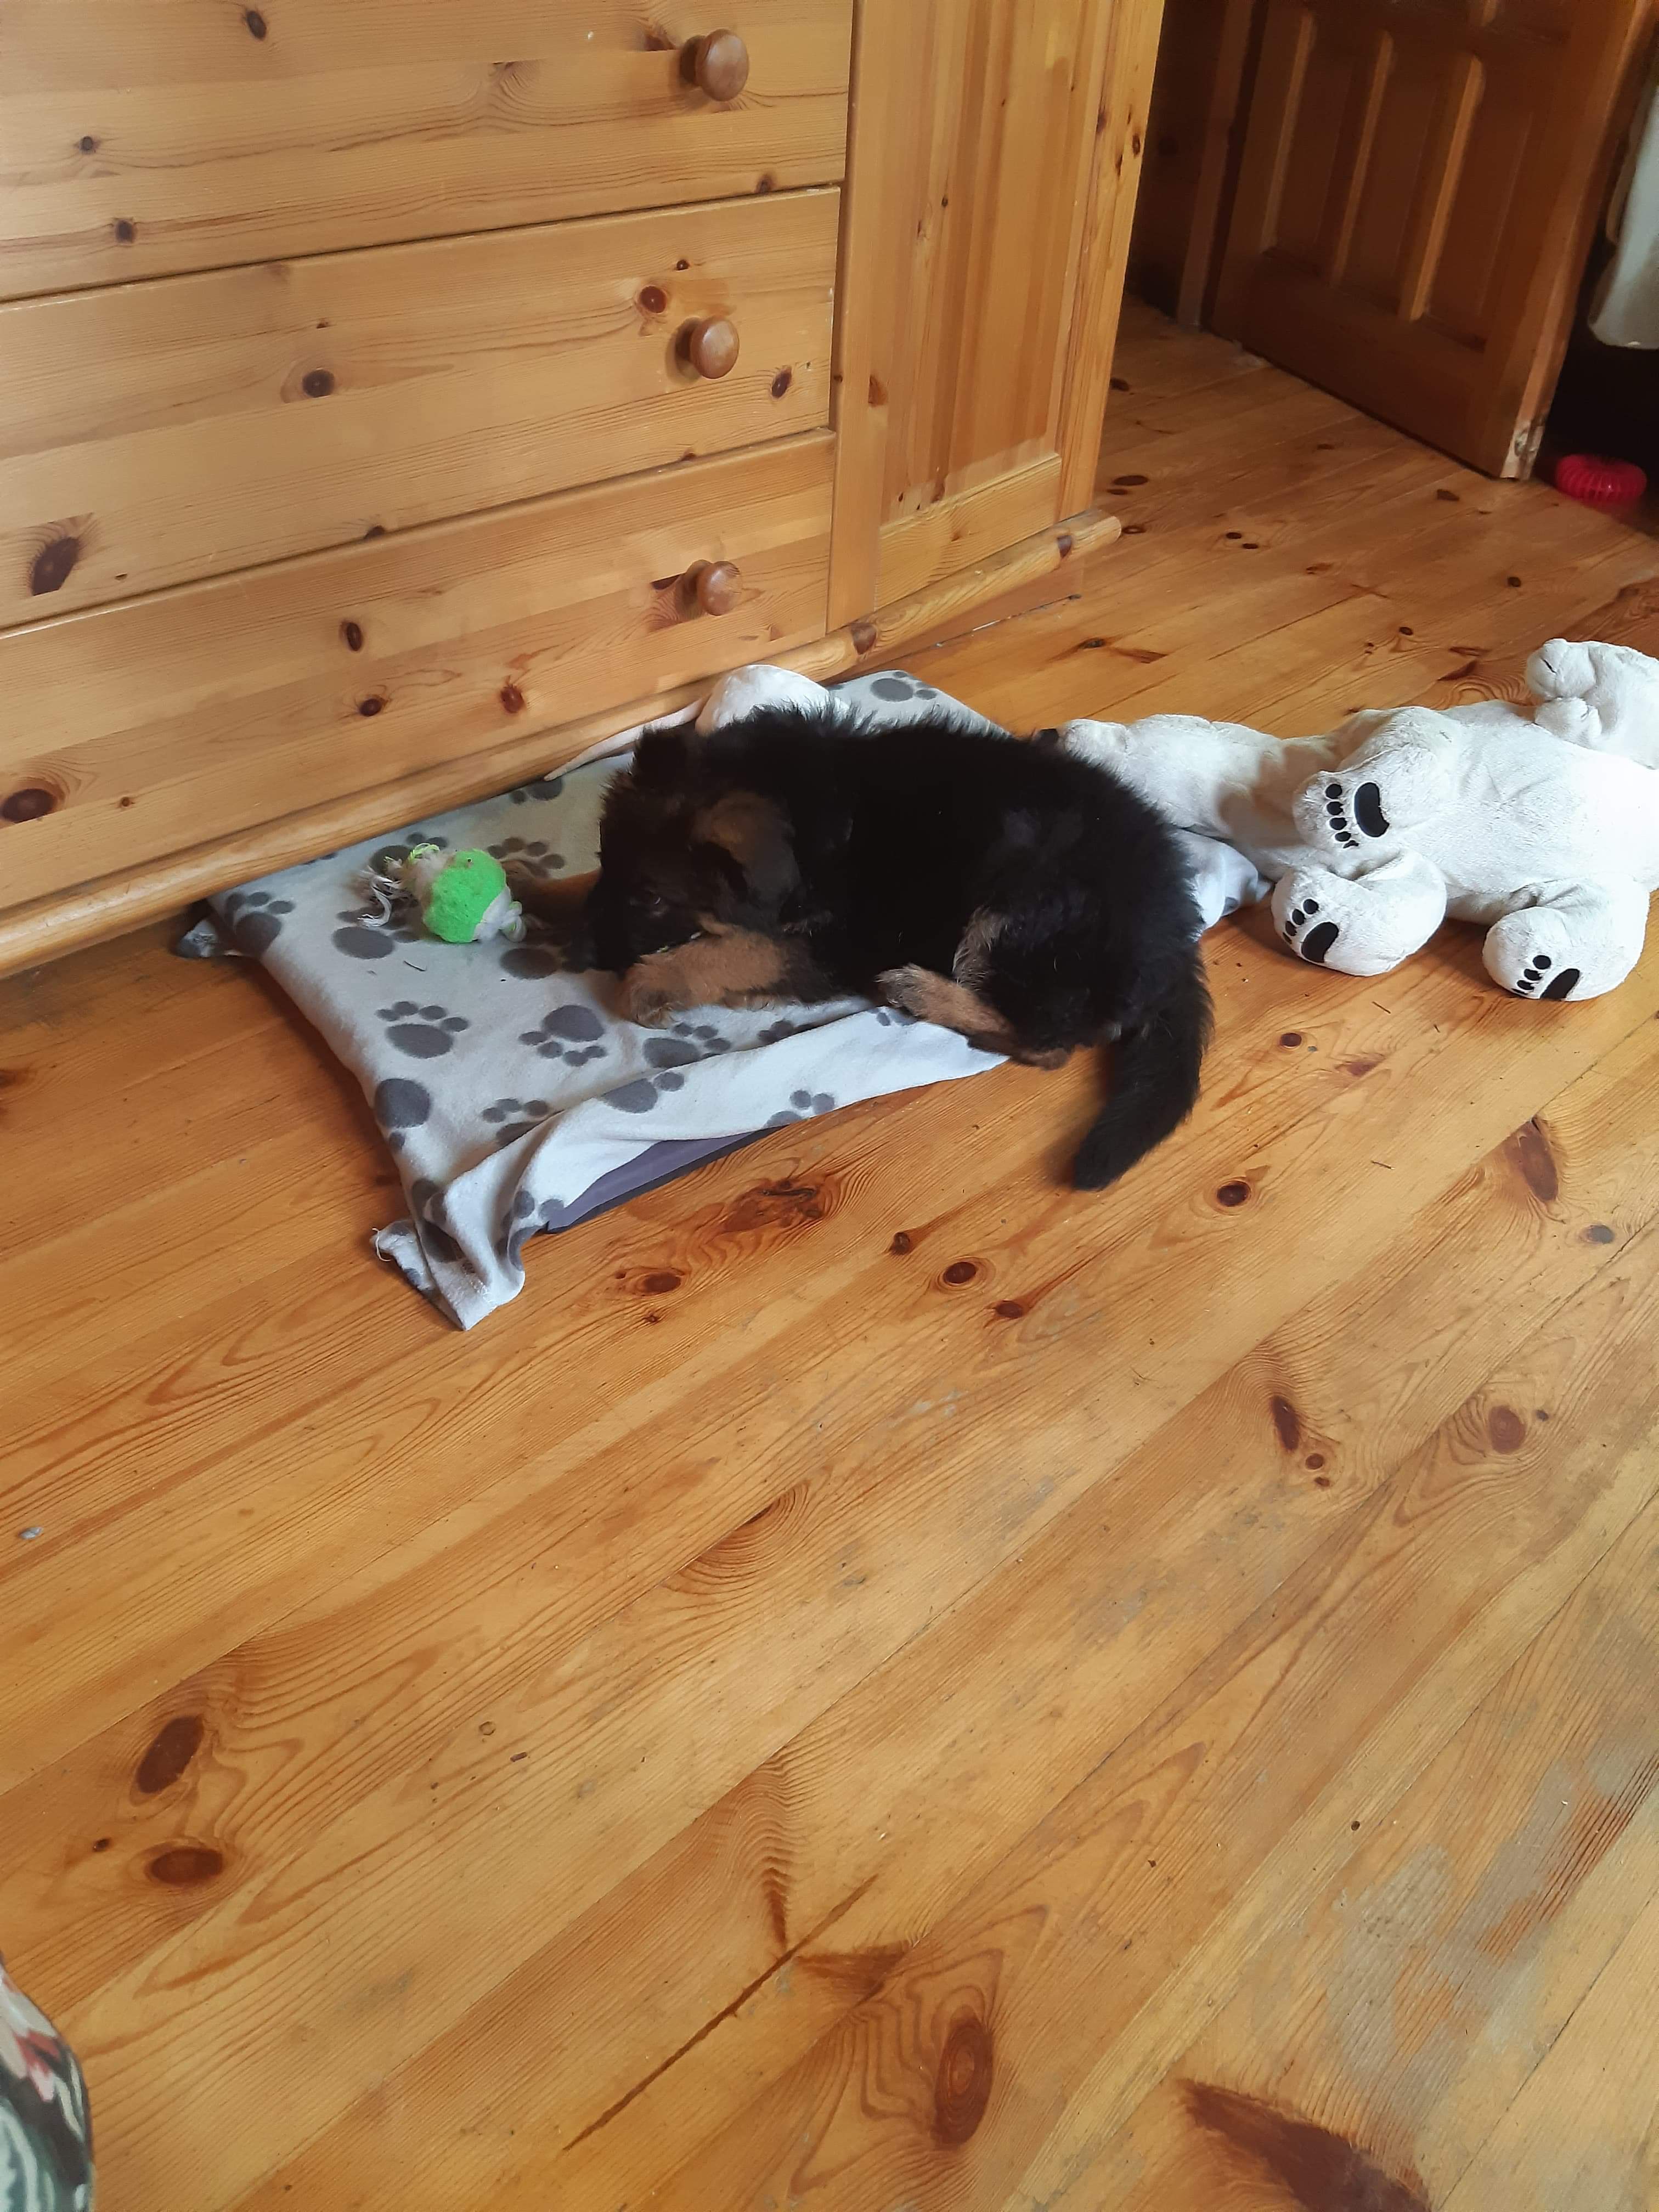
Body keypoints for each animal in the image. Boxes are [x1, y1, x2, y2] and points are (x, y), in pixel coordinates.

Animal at [516, 705, 1211, 1189]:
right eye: (607, 861)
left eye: (655, 899)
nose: (586, 954)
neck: (805, 817)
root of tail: (1177, 941)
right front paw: (537, 888)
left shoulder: (831, 944)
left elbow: (729, 952)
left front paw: (648, 981)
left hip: (1022, 894)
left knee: (1050, 1041)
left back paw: (922, 991)